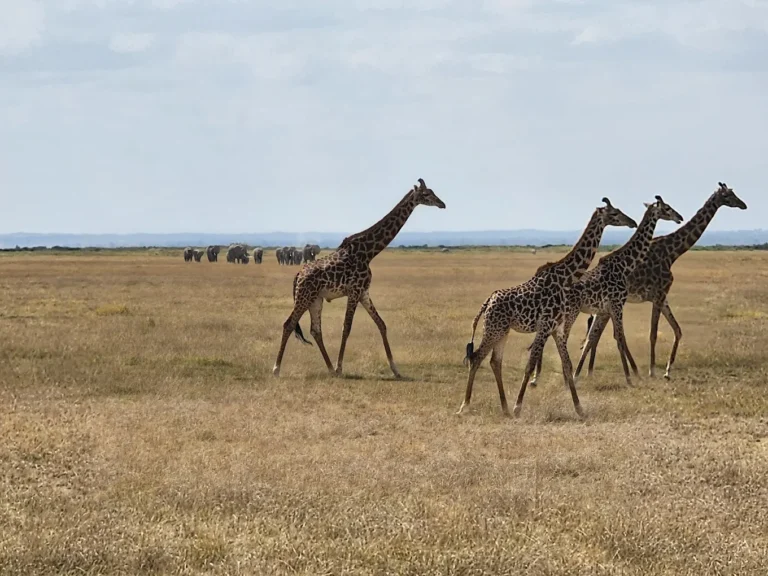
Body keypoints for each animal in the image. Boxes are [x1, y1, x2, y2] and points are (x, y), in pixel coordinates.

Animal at [272, 178, 446, 378]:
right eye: (426, 194)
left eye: (432, 191)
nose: (442, 204)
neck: (369, 252)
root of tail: (298, 274)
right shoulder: (354, 291)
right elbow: (346, 328)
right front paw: (340, 367)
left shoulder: (364, 292)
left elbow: (381, 324)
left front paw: (395, 369)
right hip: (304, 296)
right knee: (289, 324)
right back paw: (277, 369)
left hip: (316, 299)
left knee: (315, 330)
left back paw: (329, 368)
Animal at [457, 198, 638, 417]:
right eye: (614, 213)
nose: (632, 222)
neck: (565, 278)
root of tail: (487, 302)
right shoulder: (544, 326)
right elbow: (530, 364)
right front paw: (518, 407)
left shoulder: (556, 328)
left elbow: (567, 365)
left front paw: (579, 409)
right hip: (493, 329)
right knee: (476, 358)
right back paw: (465, 406)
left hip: (502, 331)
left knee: (494, 361)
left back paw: (504, 408)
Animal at [559, 196, 684, 387]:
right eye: (667, 208)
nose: (680, 217)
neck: (624, 264)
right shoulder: (617, 304)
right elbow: (620, 338)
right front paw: (631, 378)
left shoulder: (612, 307)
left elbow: (617, 338)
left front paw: (633, 375)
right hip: (571, 312)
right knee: (563, 339)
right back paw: (566, 379)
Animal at [577, 182, 747, 380]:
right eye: (728, 195)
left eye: (734, 192)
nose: (743, 205)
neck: (672, 253)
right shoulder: (658, 295)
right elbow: (653, 334)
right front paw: (652, 371)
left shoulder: (663, 297)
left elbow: (677, 330)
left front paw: (667, 371)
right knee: (595, 334)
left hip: (606, 306)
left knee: (594, 334)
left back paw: (586, 372)